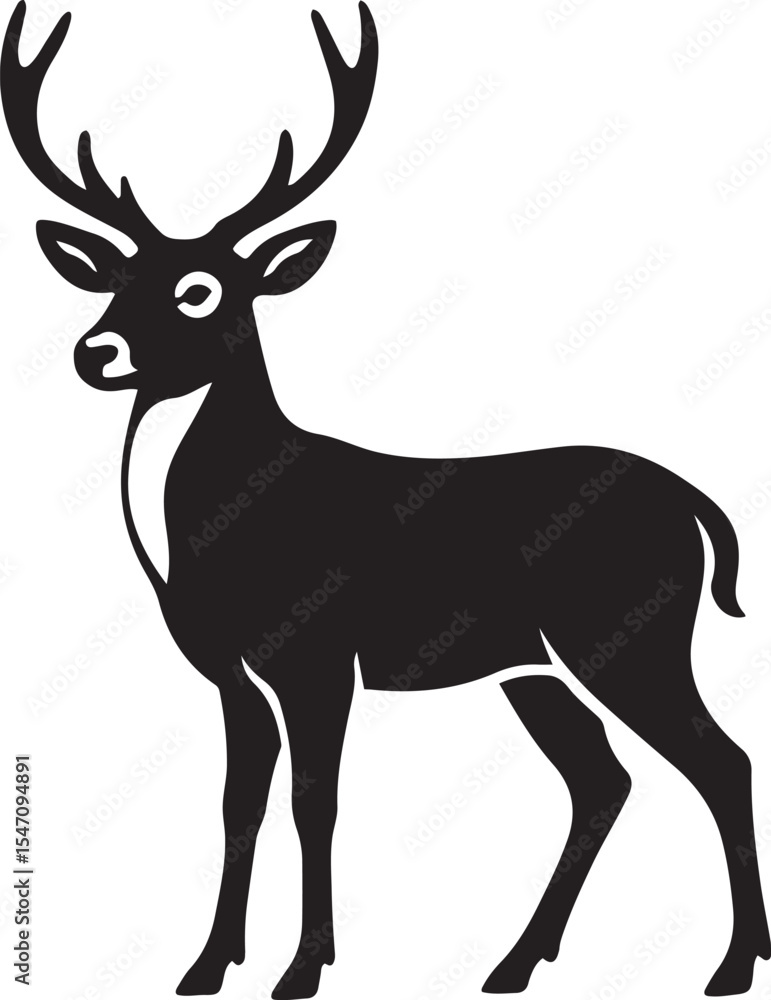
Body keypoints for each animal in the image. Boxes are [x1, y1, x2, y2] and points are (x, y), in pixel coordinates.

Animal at [3, 1, 770, 997]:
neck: (214, 538)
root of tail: (696, 504)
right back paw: (513, 963)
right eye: (116, 278)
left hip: (627, 633)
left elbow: (314, 801)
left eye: (201, 289)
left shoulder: (319, 653)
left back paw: (730, 963)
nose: (95, 352)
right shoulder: (225, 669)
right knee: (602, 778)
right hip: (534, 667)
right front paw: (206, 966)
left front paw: (303, 969)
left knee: (720, 759)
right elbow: (236, 802)